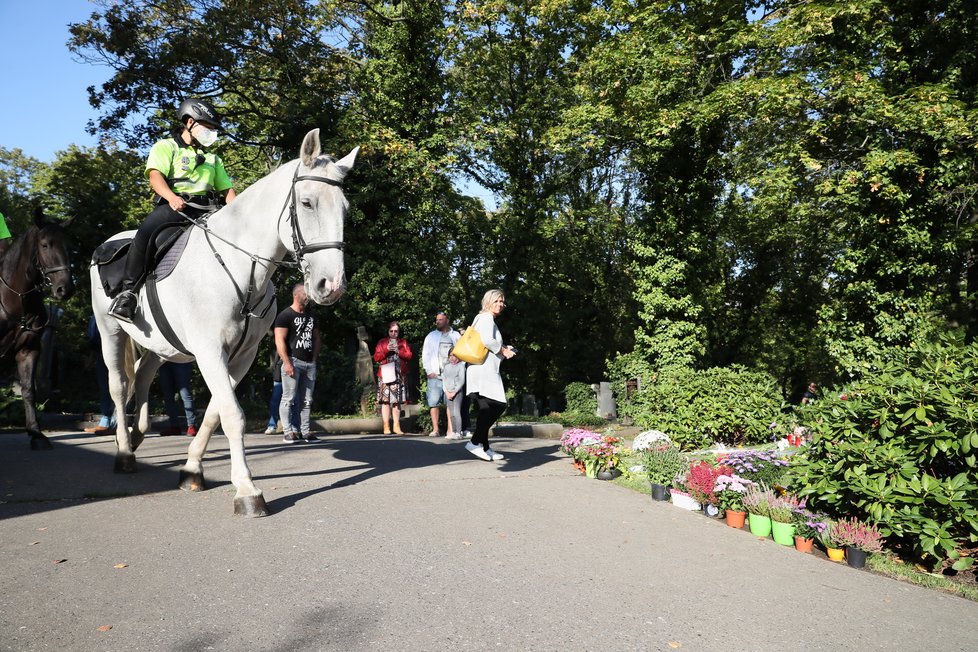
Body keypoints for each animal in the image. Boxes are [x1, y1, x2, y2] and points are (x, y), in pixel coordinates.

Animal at [0, 209, 73, 448]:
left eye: (69, 246)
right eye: (45, 245)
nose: (64, 289)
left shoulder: (28, 350)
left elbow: (28, 391)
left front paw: (36, 433)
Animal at [90, 129, 358, 516]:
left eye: (344, 209)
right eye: (307, 203)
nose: (331, 286)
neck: (238, 266)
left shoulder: (241, 355)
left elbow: (216, 412)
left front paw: (192, 469)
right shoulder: (209, 351)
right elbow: (232, 414)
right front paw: (246, 490)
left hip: (161, 343)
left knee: (142, 374)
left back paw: (138, 434)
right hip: (109, 331)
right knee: (119, 384)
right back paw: (125, 451)